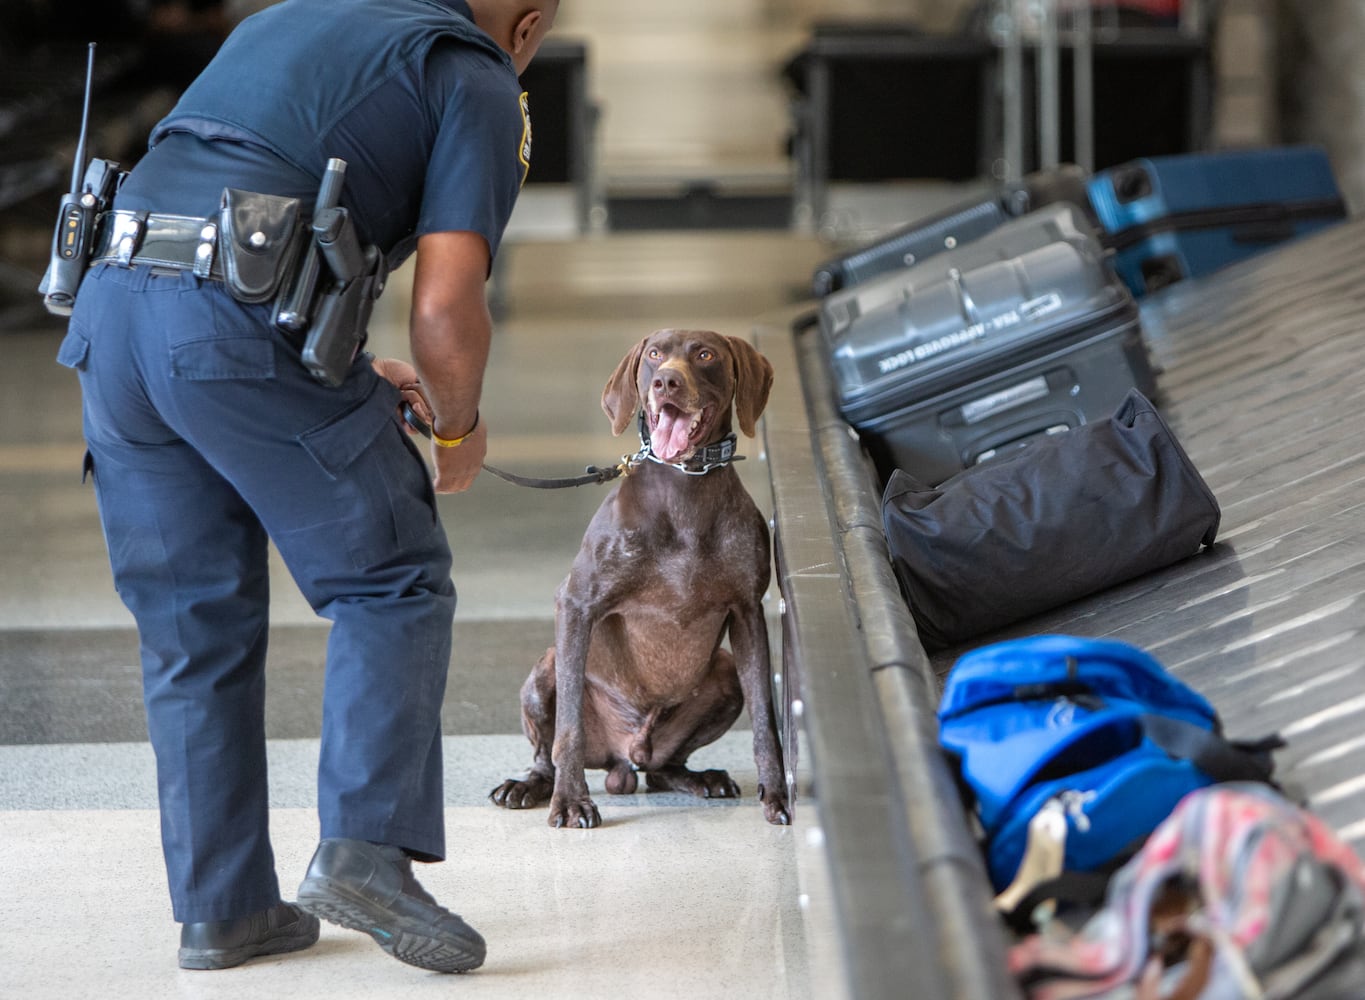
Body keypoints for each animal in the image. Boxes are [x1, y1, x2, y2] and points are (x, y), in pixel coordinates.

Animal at [491, 327, 791, 829]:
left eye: (705, 355)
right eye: (654, 354)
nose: (667, 381)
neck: (685, 485)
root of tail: (623, 757)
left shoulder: (748, 612)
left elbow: (766, 720)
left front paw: (777, 794)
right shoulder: (576, 604)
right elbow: (568, 729)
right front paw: (571, 801)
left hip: (722, 674)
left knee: (661, 769)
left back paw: (699, 777)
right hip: (546, 668)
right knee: (547, 754)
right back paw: (531, 785)